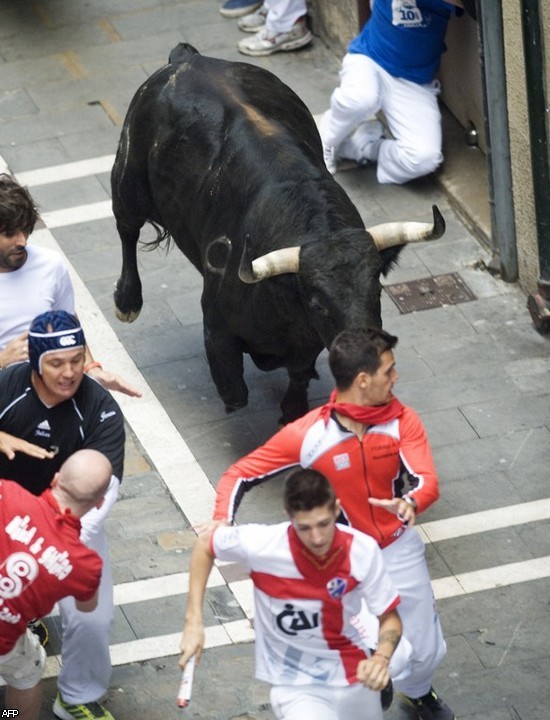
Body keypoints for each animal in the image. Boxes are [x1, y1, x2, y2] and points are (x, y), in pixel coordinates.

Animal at [111, 43, 444, 422]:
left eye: (377, 291)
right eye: (318, 303)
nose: (367, 358)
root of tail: (187, 58)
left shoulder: (308, 341)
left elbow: (299, 373)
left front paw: (293, 409)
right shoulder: (217, 323)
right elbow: (235, 390)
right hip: (129, 177)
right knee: (126, 227)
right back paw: (127, 301)